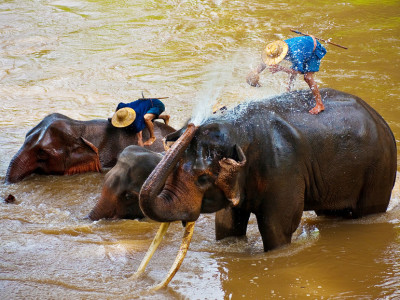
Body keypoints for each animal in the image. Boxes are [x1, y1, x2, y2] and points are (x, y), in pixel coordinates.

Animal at [138, 88, 396, 251]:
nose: (193, 125)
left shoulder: (285, 169)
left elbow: (278, 226)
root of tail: (380, 119)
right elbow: (227, 224)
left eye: (202, 178)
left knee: (369, 209)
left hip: (380, 169)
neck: (240, 129)